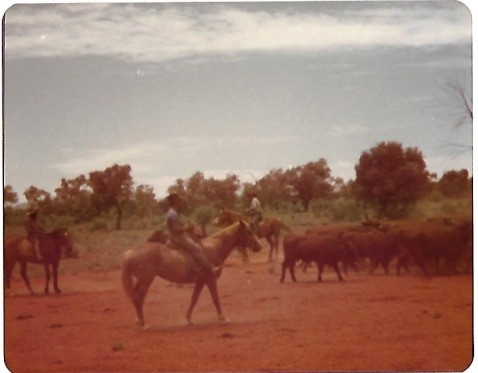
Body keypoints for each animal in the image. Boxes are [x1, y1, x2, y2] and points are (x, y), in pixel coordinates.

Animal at [119, 219, 262, 326]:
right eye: (248, 231)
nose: (259, 246)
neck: (214, 247)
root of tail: (130, 253)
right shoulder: (210, 279)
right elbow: (215, 298)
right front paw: (223, 318)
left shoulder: (200, 281)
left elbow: (194, 299)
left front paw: (188, 319)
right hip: (146, 280)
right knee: (139, 298)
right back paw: (143, 323)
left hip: (142, 280)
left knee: (135, 297)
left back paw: (139, 321)